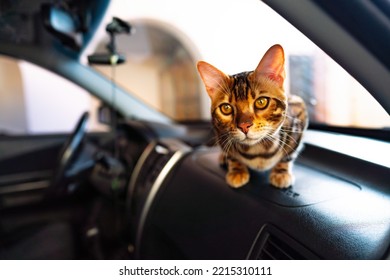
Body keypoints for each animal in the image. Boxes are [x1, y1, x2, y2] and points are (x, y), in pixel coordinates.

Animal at [198, 44, 308, 188]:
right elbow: (232, 155)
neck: (258, 151)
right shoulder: (219, 131)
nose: (244, 126)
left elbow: (289, 153)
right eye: (226, 108)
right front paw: (237, 169)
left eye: (261, 102)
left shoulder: (299, 114)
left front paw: (281, 172)